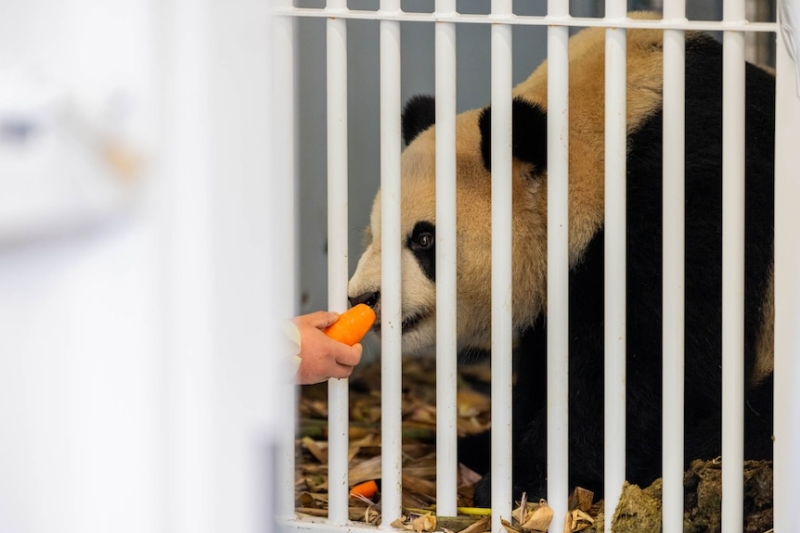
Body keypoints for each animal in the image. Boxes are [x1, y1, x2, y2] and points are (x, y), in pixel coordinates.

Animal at [346, 11, 772, 502]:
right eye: (374, 234)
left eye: (423, 240)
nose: (362, 298)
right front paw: (495, 450)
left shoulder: (687, 200)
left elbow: (656, 362)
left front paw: (527, 478)